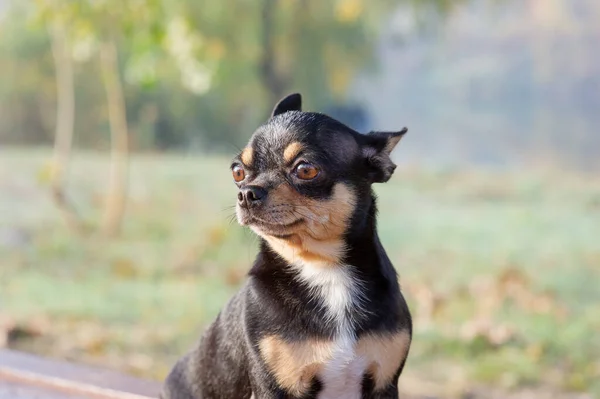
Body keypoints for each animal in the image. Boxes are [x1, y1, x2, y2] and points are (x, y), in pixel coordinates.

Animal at [159, 94, 412, 399]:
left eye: (306, 170)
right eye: (237, 172)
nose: (246, 193)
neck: (322, 267)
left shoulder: (384, 385)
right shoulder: (274, 388)